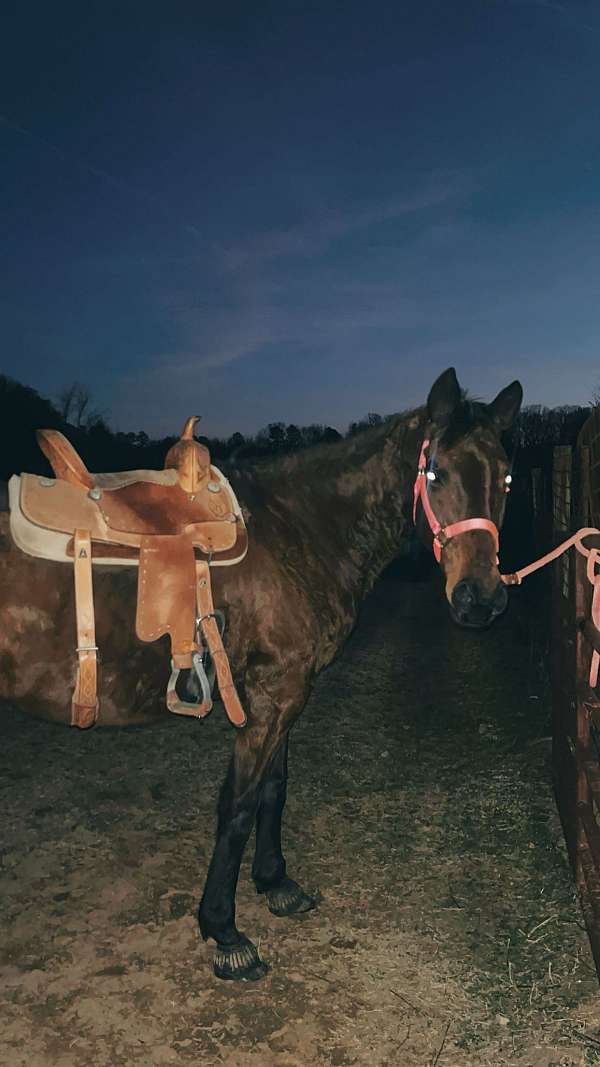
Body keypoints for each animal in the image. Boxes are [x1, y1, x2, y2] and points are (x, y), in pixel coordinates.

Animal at [0, 366, 522, 980]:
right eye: (435, 472)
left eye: (506, 478)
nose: (480, 600)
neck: (299, 529)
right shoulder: (274, 697)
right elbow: (240, 805)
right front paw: (224, 930)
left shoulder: (287, 693)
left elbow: (275, 787)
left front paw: (275, 883)